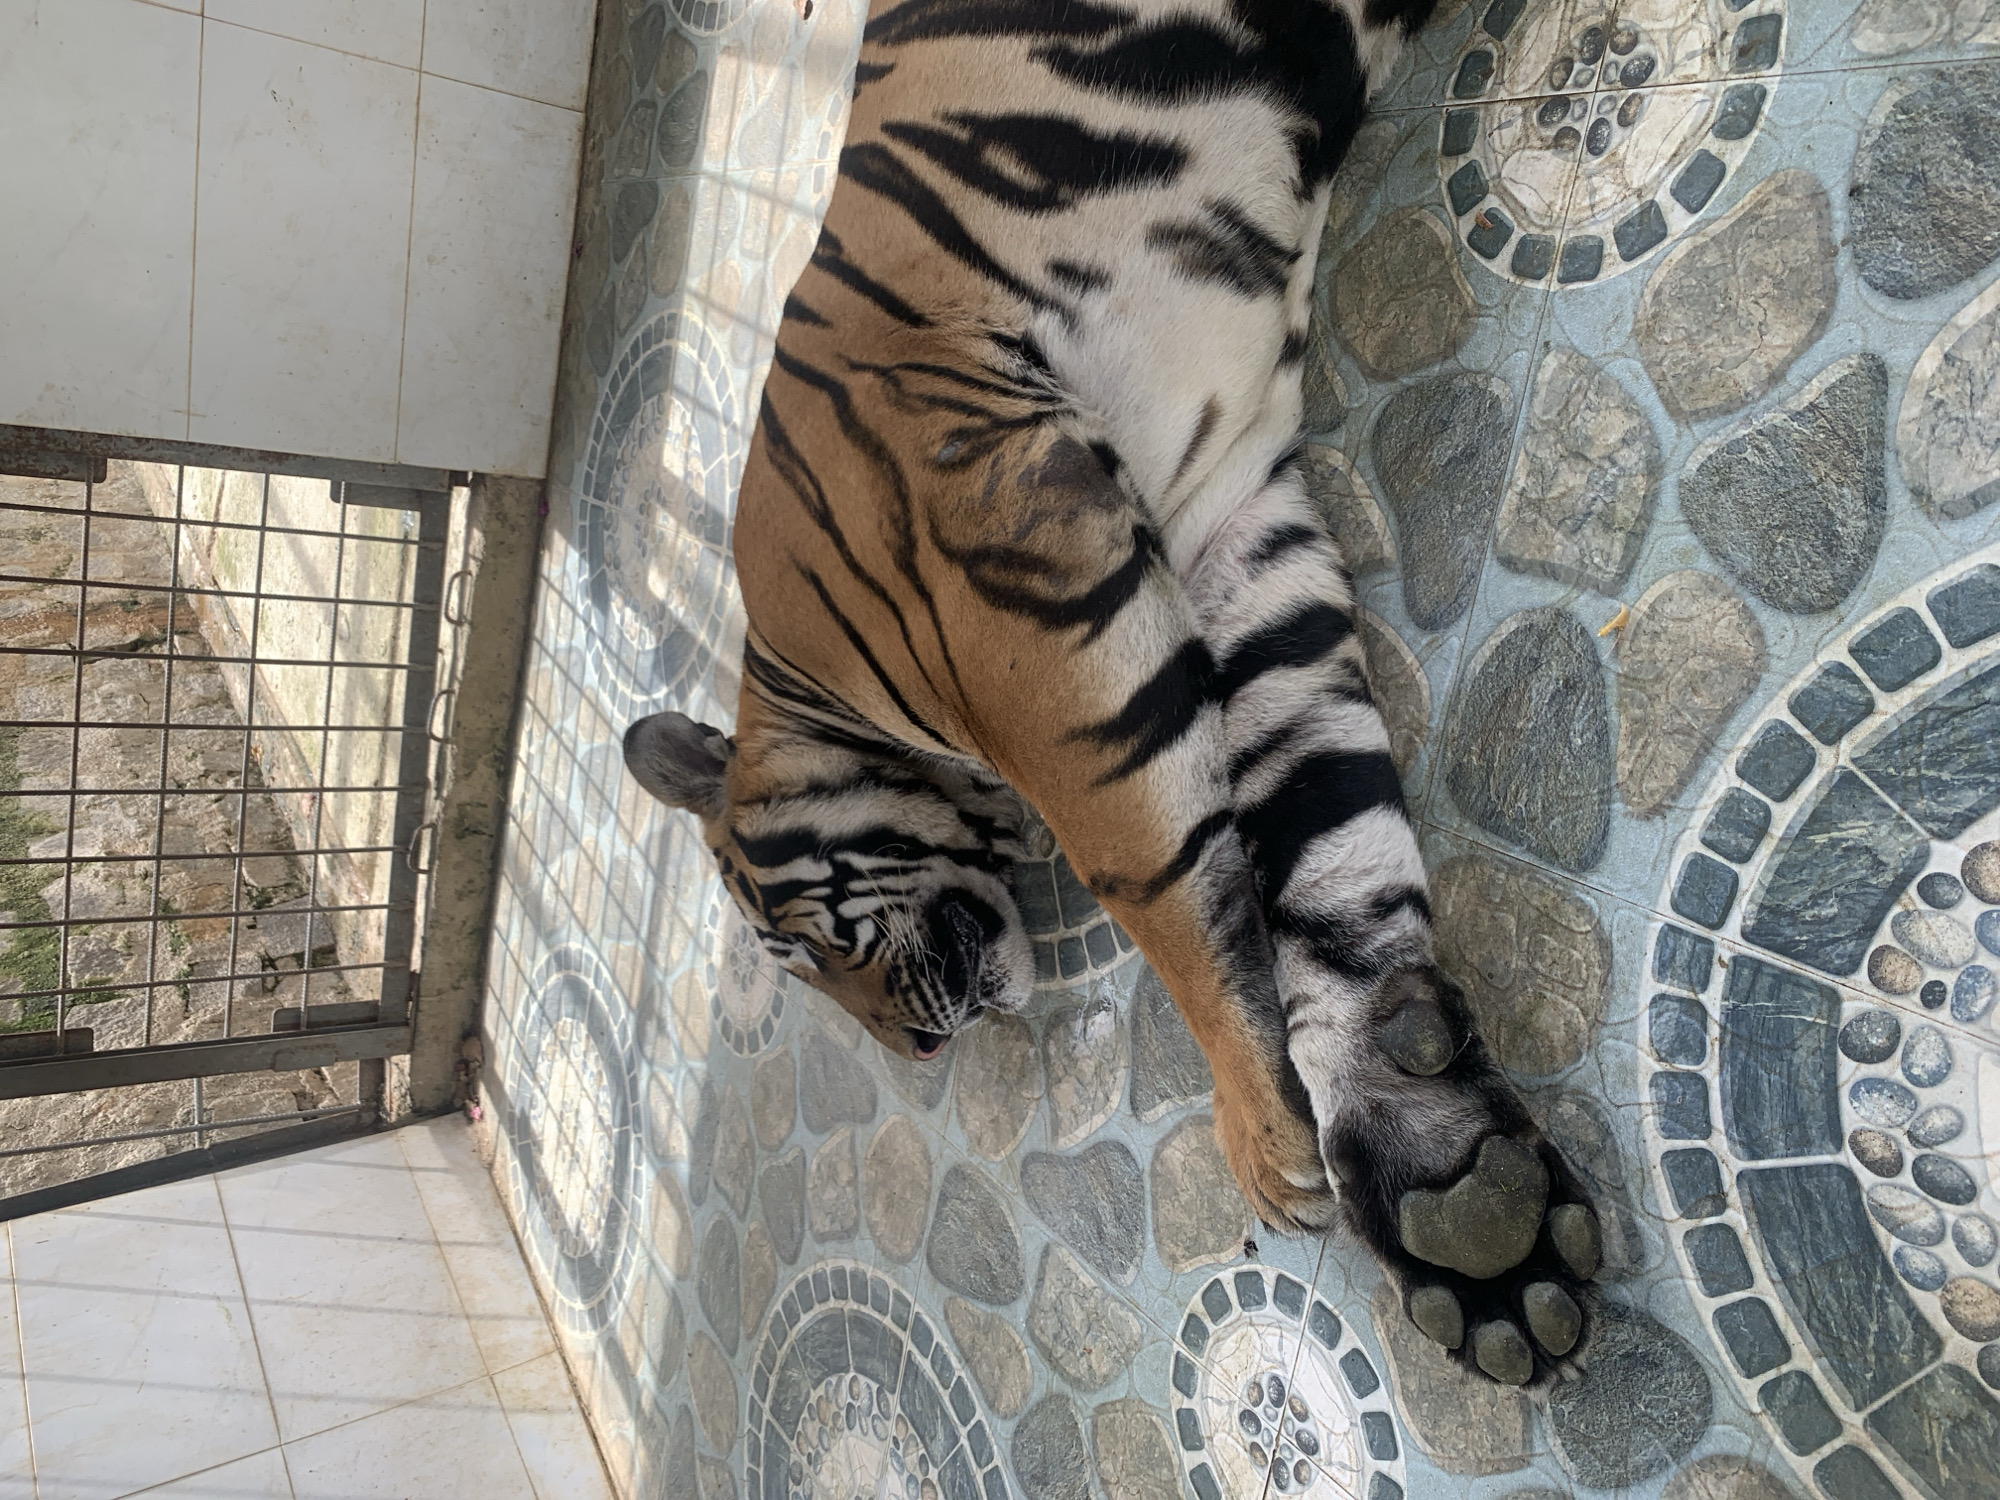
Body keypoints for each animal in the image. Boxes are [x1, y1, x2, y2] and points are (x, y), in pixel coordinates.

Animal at [624, 0, 1602, 1384]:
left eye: (803, 953)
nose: (919, 1051)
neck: (802, 680)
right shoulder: (1224, 535)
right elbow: (1332, 842)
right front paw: (1446, 1190)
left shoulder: (1029, 605)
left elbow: (1162, 890)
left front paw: (1261, 1138)